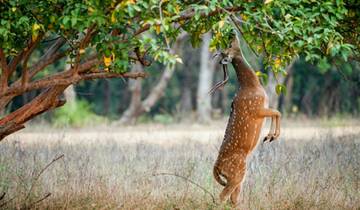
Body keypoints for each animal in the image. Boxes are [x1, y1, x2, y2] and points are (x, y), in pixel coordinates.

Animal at [211, 37, 282, 207]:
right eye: (230, 45)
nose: (232, 34)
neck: (252, 85)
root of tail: (216, 168)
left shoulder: (263, 108)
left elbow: (276, 113)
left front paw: (269, 136)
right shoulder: (257, 109)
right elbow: (278, 112)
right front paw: (271, 136)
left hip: (236, 178)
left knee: (233, 199)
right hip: (238, 172)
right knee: (222, 197)